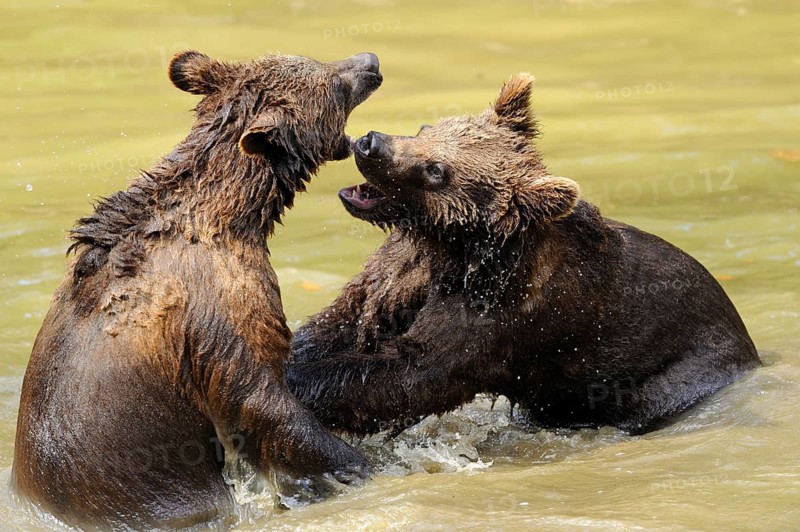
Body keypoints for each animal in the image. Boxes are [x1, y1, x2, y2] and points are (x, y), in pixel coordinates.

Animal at [12, 50, 382, 529]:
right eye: (333, 81)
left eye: (313, 58)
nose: (370, 62)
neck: (233, 214)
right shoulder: (223, 302)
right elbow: (261, 402)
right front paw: (358, 462)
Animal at [287, 73, 761, 438]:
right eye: (426, 127)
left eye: (437, 170)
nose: (369, 143)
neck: (453, 249)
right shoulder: (407, 270)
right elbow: (348, 316)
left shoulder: (501, 315)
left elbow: (411, 373)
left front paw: (298, 382)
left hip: (671, 377)